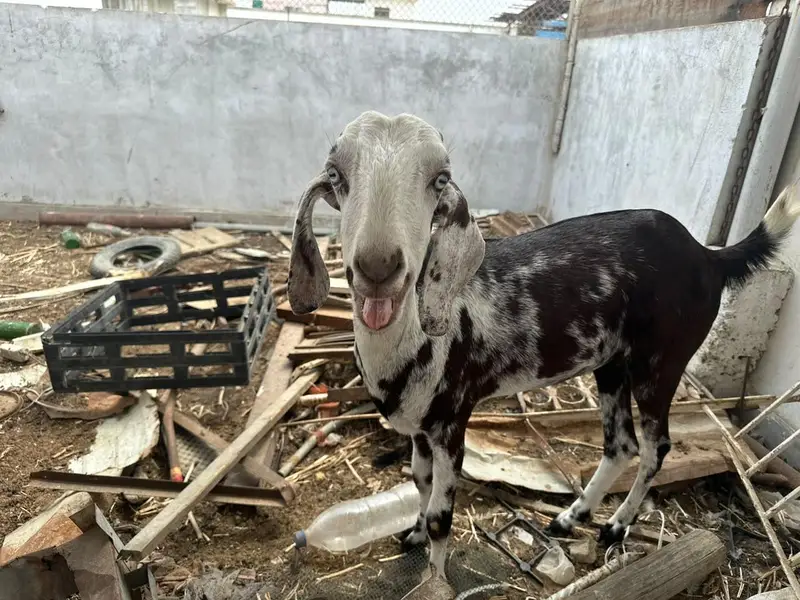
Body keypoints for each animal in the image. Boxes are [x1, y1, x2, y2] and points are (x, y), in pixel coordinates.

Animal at [287, 111, 800, 580]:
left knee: (657, 446)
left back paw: (615, 527)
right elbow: (419, 482)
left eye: (440, 179)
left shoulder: (452, 421)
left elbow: (440, 517)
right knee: (622, 444)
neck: (408, 342)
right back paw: (569, 518)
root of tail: (709, 257)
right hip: (612, 364)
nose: (378, 266)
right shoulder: (418, 428)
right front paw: (410, 534)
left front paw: (435, 577)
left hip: (662, 362)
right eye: (335, 175)